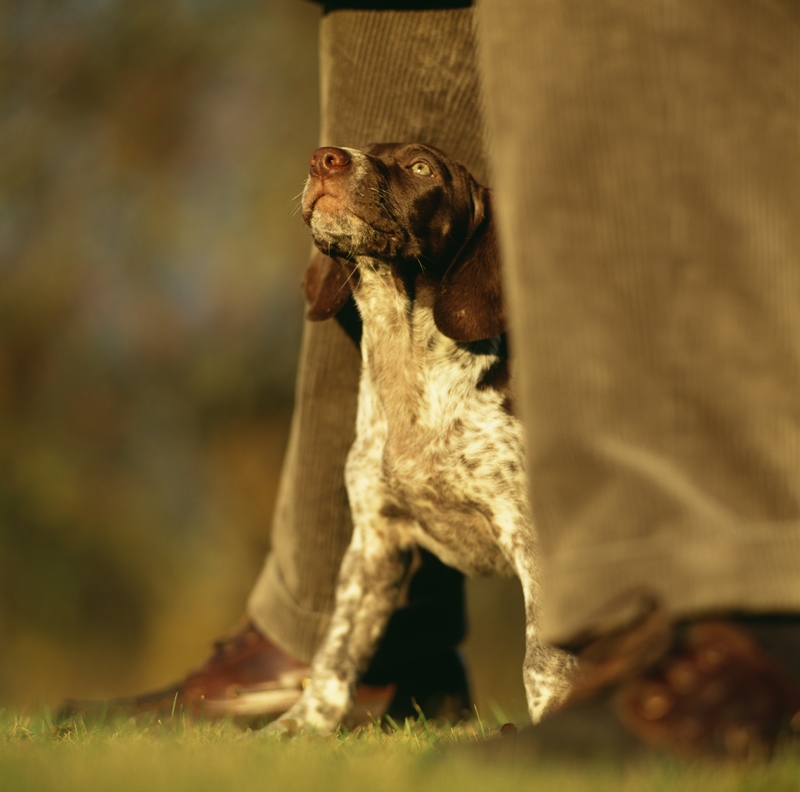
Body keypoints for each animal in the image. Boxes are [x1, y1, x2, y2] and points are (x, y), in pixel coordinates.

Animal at [268, 144, 576, 736]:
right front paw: (304, 724)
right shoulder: (374, 543)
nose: (325, 158)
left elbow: (542, 658)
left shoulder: (530, 534)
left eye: (420, 168)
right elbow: (337, 650)